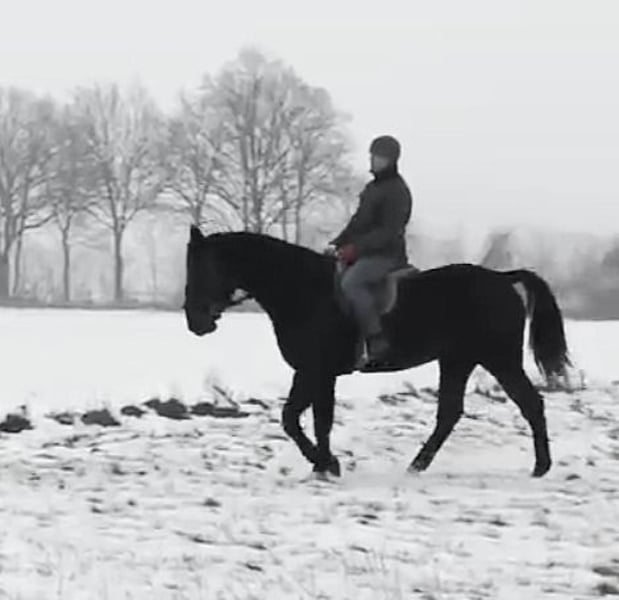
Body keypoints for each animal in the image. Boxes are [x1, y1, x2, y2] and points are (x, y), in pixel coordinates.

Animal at [183, 226, 570, 479]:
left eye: (203, 267)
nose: (194, 321)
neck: (303, 290)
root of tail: (503, 279)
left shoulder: (318, 370)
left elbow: (310, 419)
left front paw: (327, 465)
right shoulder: (310, 371)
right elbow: (298, 419)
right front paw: (323, 463)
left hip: (498, 359)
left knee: (530, 403)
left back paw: (541, 467)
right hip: (458, 360)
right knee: (450, 414)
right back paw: (417, 465)